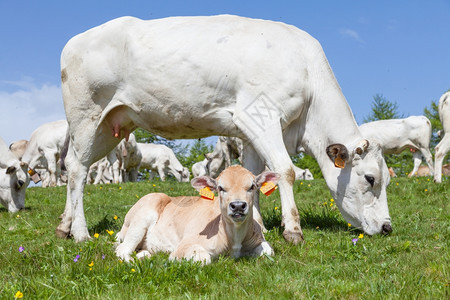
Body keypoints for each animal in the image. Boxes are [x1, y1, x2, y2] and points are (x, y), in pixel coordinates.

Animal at [59, 15, 390, 243]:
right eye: (370, 178)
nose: (387, 226)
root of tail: (76, 39)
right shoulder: (261, 116)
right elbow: (285, 170)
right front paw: (293, 230)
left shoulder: (252, 131)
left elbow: (255, 175)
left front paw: (258, 222)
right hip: (86, 116)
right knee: (77, 170)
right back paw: (81, 232)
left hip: (109, 125)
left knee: (75, 166)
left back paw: (64, 225)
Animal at [115, 165, 278, 264]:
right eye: (220, 188)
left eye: (252, 186)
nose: (238, 206)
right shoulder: (184, 245)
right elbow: (204, 257)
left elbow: (268, 250)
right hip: (142, 216)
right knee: (121, 249)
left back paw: (145, 255)